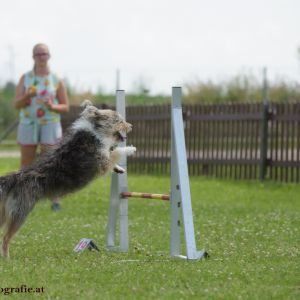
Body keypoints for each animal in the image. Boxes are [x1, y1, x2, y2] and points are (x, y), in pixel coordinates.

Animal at [0, 100, 135, 255]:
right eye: (119, 121)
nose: (131, 126)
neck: (95, 133)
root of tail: (15, 178)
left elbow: (113, 154)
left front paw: (119, 168)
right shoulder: (102, 161)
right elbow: (115, 152)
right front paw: (131, 149)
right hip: (20, 212)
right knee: (5, 239)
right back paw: (7, 258)